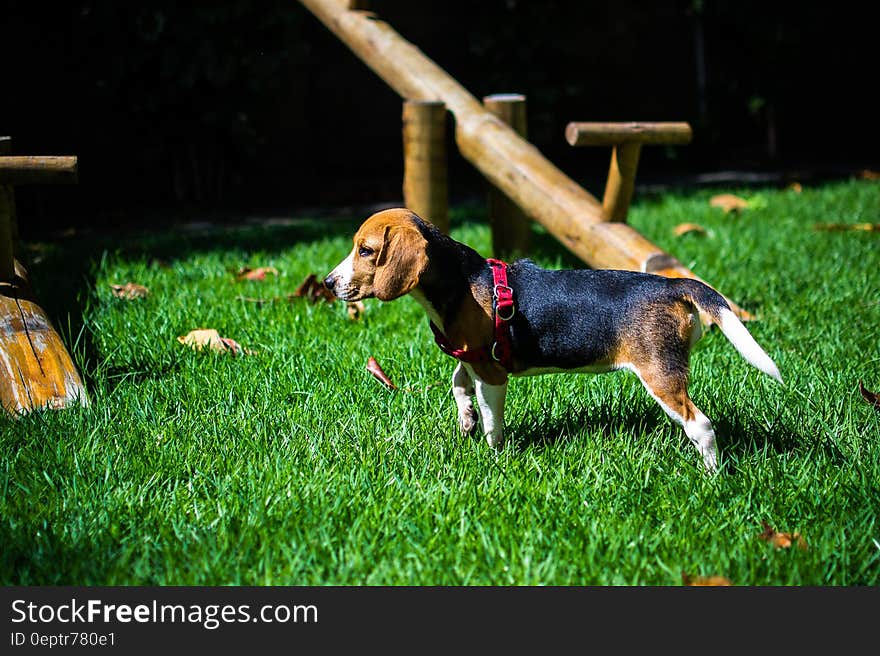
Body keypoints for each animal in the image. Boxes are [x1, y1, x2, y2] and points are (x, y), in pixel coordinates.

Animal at [326, 208, 780, 468]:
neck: (460, 282)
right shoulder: (472, 357)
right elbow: (458, 383)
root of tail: (672, 286)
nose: (328, 284)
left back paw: (711, 475)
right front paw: (465, 418)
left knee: (700, 425)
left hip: (661, 374)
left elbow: (491, 417)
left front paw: (493, 454)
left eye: (366, 251)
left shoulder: (491, 373)